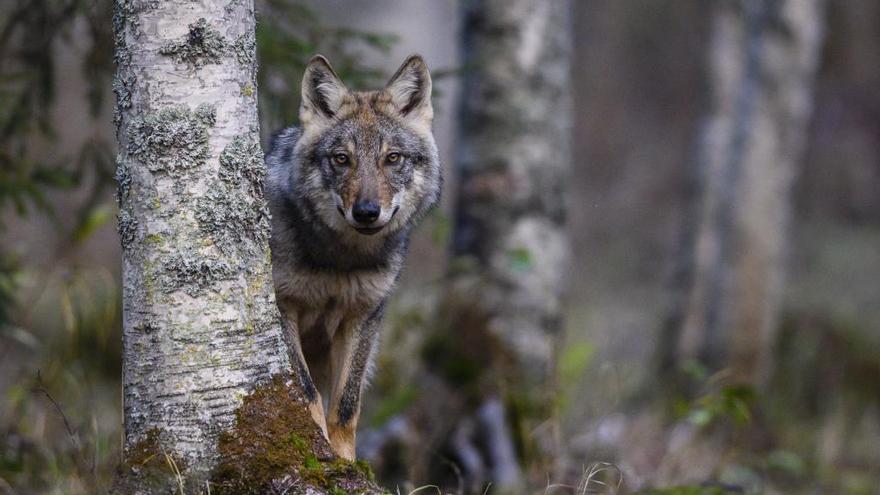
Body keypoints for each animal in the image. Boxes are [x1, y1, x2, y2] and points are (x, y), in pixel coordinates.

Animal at [262, 54, 440, 462]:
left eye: (392, 158)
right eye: (342, 159)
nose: (367, 212)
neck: (339, 259)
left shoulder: (364, 315)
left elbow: (345, 406)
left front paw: (344, 461)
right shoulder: (283, 306)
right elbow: (307, 393)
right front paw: (315, 451)